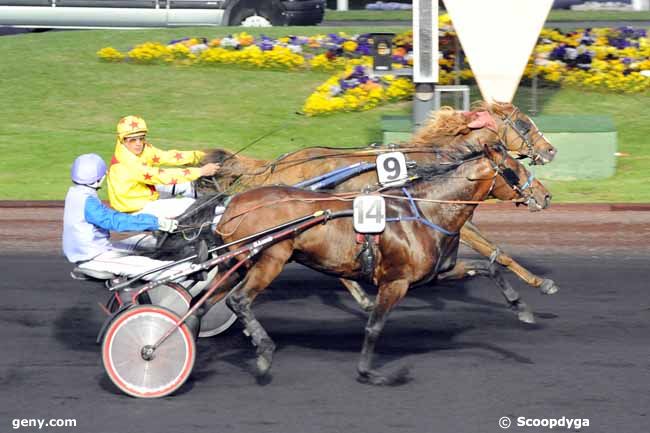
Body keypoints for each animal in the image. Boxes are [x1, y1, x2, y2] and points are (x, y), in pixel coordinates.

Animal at [215, 143, 548, 384]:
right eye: (514, 170)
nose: (545, 195)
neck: (424, 211)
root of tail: (233, 204)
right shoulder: (395, 283)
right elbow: (374, 326)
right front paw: (370, 372)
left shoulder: (436, 273)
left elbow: (490, 266)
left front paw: (523, 307)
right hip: (269, 258)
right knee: (239, 300)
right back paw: (264, 351)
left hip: (235, 265)